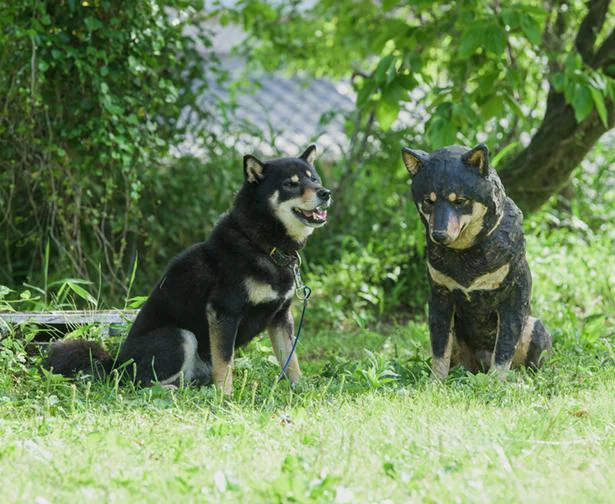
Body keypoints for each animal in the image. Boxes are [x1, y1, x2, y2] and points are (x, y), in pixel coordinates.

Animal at [44, 146, 332, 394]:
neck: (263, 245)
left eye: (314, 179)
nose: (325, 193)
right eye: (290, 184)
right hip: (179, 336)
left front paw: (300, 389)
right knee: (138, 383)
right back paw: (172, 391)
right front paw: (225, 396)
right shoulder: (223, 311)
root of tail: (115, 364)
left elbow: (291, 359)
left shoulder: (281, 317)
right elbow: (225, 362)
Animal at [402, 144, 552, 376]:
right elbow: (440, 351)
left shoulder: (513, 298)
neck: (466, 253)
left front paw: (494, 381)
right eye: (429, 201)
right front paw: (435, 381)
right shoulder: (439, 299)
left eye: (460, 201)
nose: (439, 235)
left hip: (535, 328)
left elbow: (504, 350)